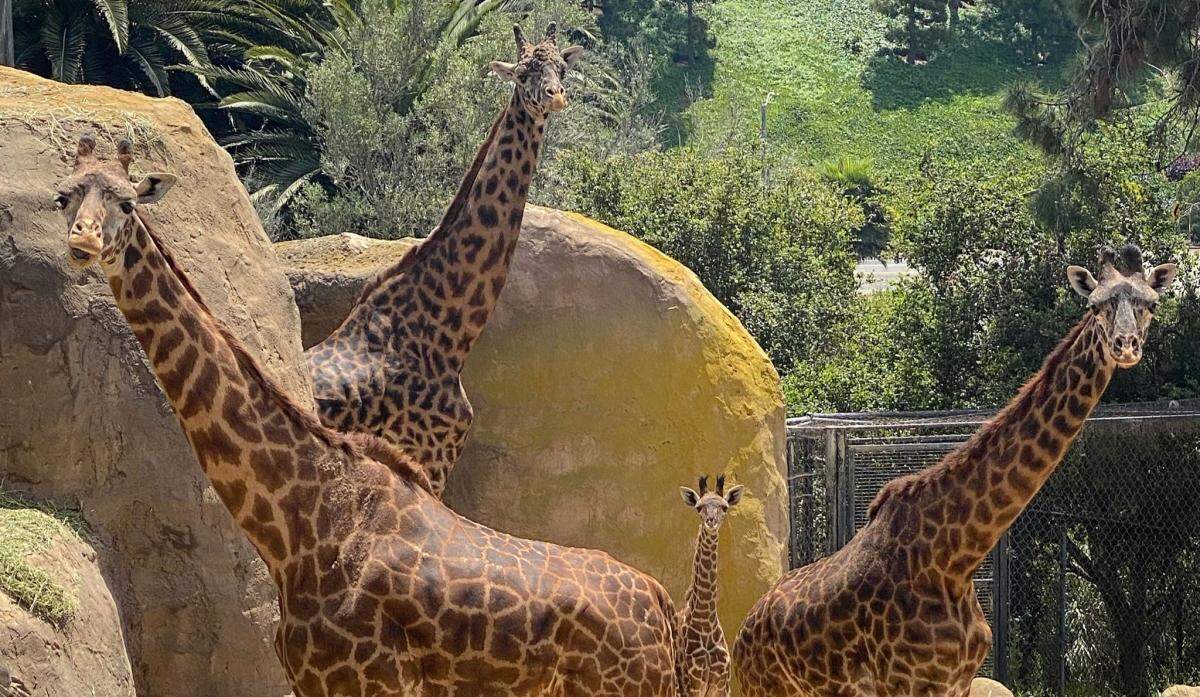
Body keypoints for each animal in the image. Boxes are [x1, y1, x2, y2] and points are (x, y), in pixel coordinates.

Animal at [55, 135, 681, 697]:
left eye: (127, 203)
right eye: (64, 196)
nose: (82, 240)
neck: (299, 526)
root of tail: (661, 605)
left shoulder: (368, 682)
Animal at [676, 475, 743, 697]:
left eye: (724, 507)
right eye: (699, 507)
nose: (711, 522)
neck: (706, 623)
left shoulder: (722, 685)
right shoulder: (691, 685)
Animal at [733, 246, 1178, 697]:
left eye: (1151, 304)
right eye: (1095, 305)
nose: (1125, 345)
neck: (957, 559)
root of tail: (744, 631)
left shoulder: (956, 681)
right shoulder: (906, 683)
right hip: (763, 687)